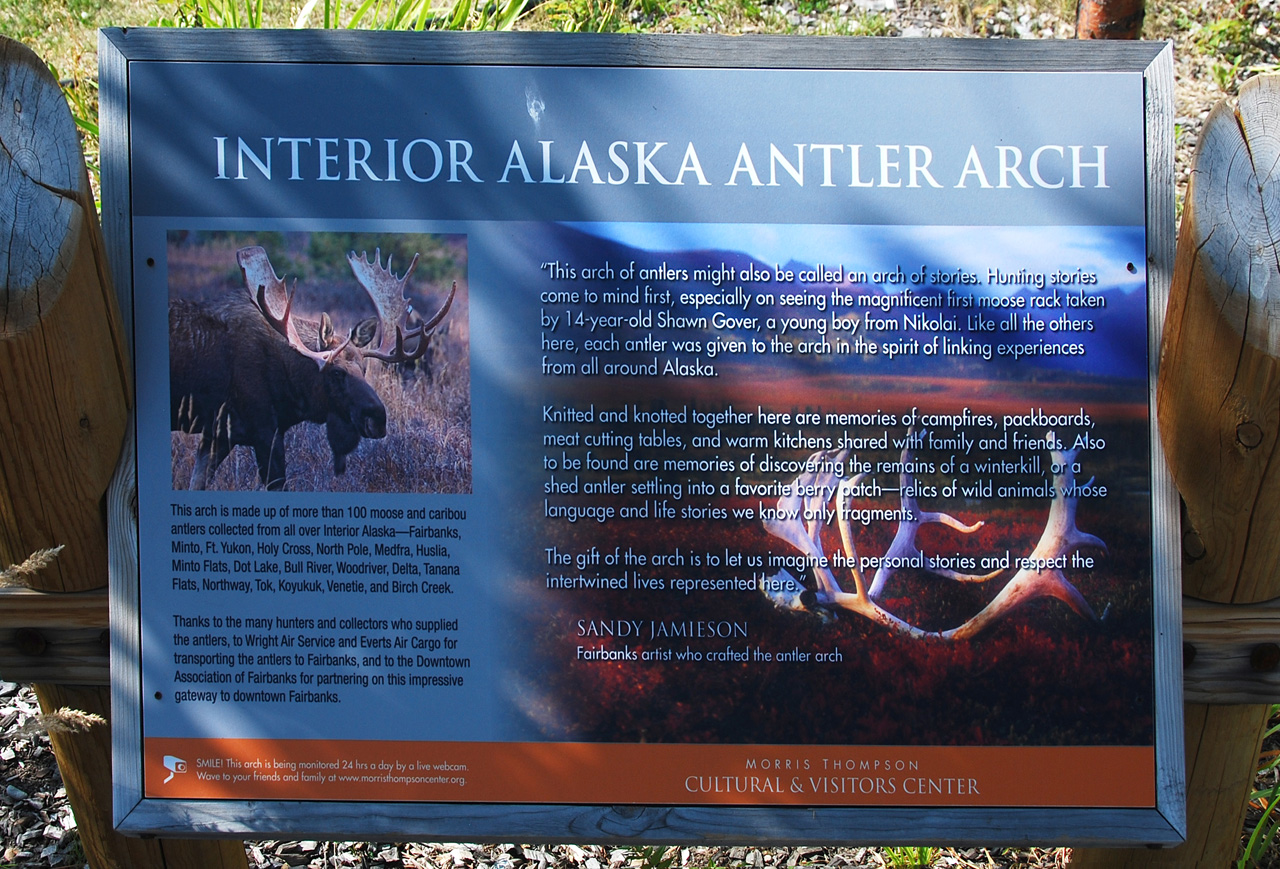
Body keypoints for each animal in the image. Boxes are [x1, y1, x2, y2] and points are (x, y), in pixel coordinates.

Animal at [167, 244, 453, 488]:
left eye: (364, 369)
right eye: (336, 372)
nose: (378, 419)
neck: (291, 389)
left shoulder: (217, 435)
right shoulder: (263, 430)